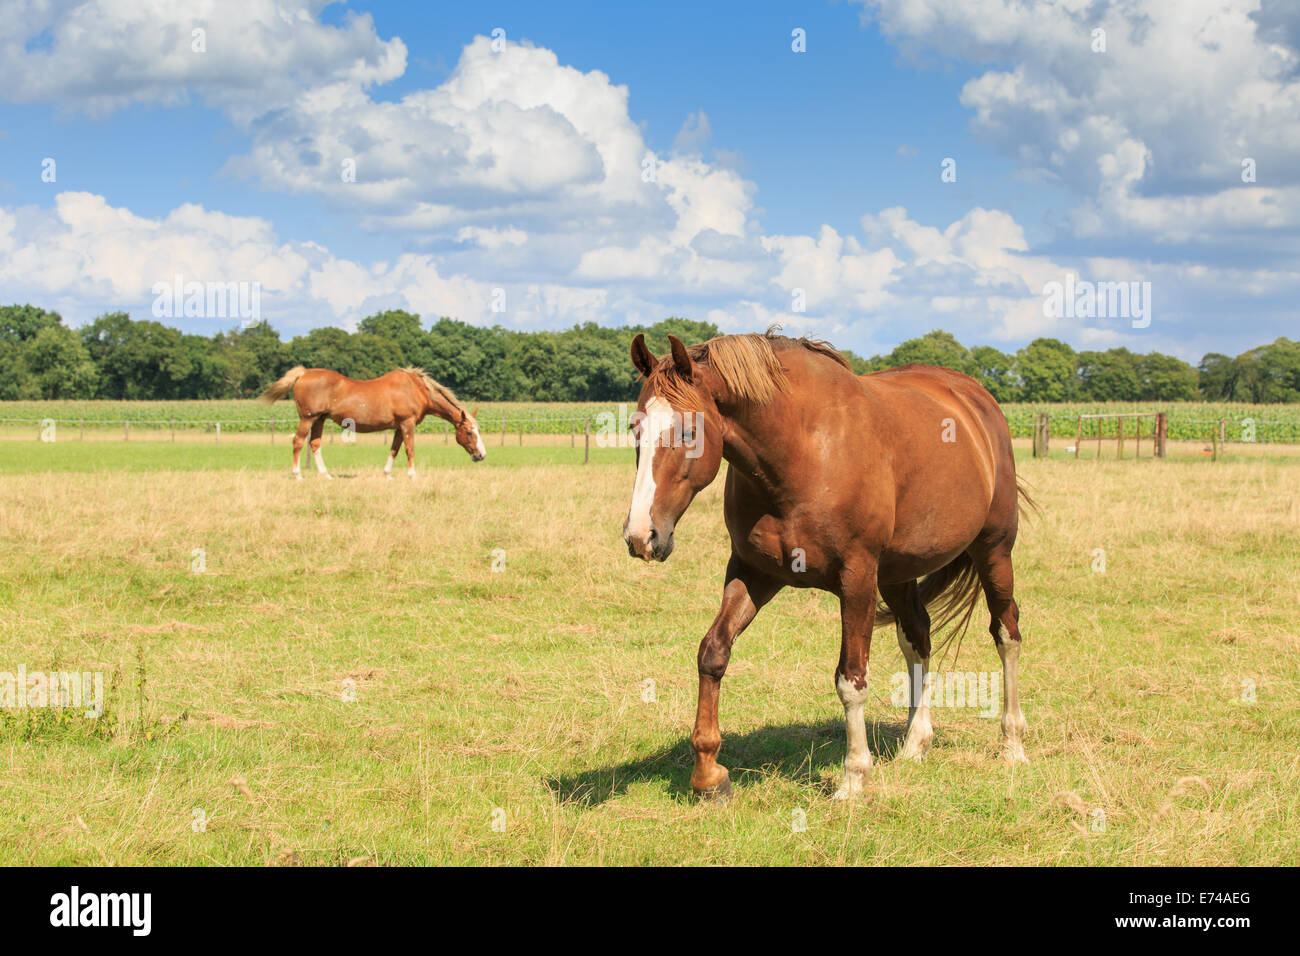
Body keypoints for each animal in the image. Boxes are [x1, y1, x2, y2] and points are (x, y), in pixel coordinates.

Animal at [256, 364, 486, 478]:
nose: (481, 455)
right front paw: (412, 475)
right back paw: (297, 474)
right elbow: (409, 449)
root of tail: (303, 373)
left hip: (319, 420)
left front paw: (387, 473)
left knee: (314, 444)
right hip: (307, 418)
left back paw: (325, 475)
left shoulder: (399, 427)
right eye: (468, 432)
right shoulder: (407, 424)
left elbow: (394, 449)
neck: (417, 389)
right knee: (297, 442)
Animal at [624, 332, 1029, 806]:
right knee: (919, 635)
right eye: (634, 428)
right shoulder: (753, 573)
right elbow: (713, 653)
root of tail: (975, 397)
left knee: (1006, 633)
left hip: (993, 551)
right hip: (897, 573)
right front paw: (708, 776)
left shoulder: (857, 579)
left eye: (689, 431)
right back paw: (916, 743)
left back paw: (1012, 744)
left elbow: (850, 679)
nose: (641, 536)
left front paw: (853, 779)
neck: (802, 452)